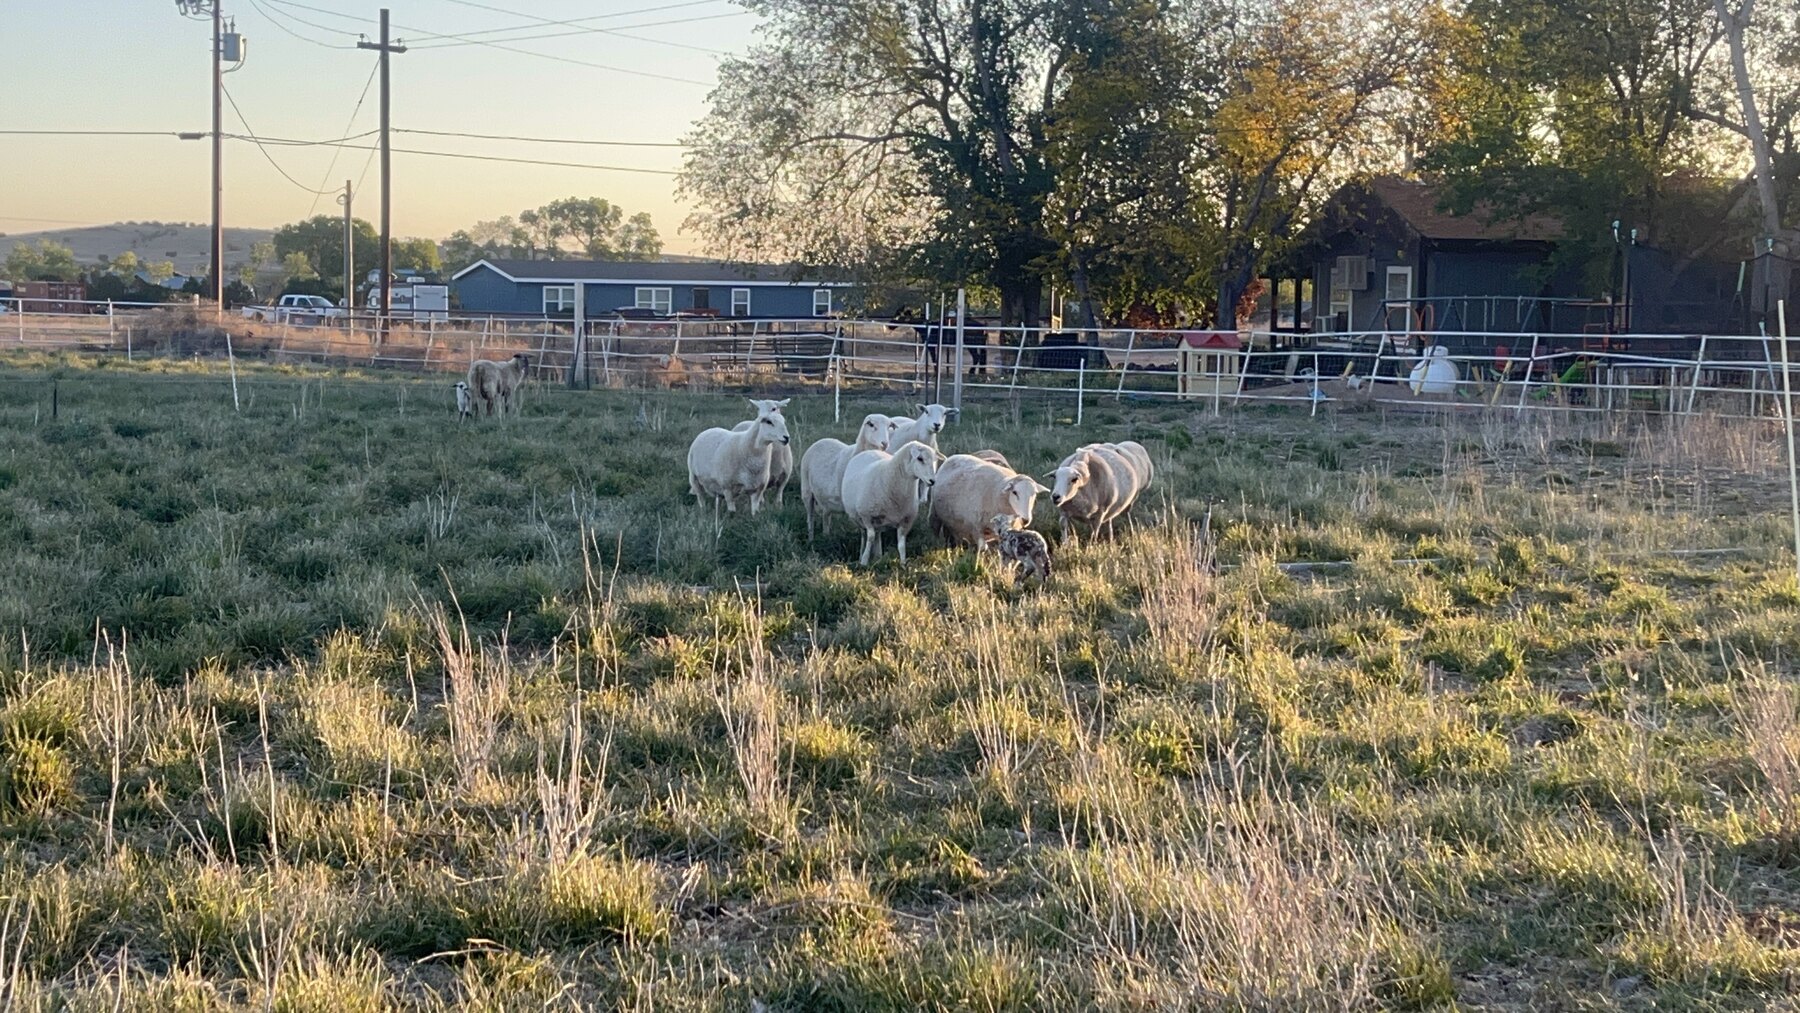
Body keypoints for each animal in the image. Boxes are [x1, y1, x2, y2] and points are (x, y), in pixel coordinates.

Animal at [799, 412, 895, 541]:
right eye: (871, 424)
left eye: (889, 426)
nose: (885, 444)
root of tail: (821, 440)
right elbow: (863, 529)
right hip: (807, 491)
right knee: (810, 517)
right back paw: (811, 539)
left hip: (824, 497)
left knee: (826, 515)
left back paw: (826, 536)